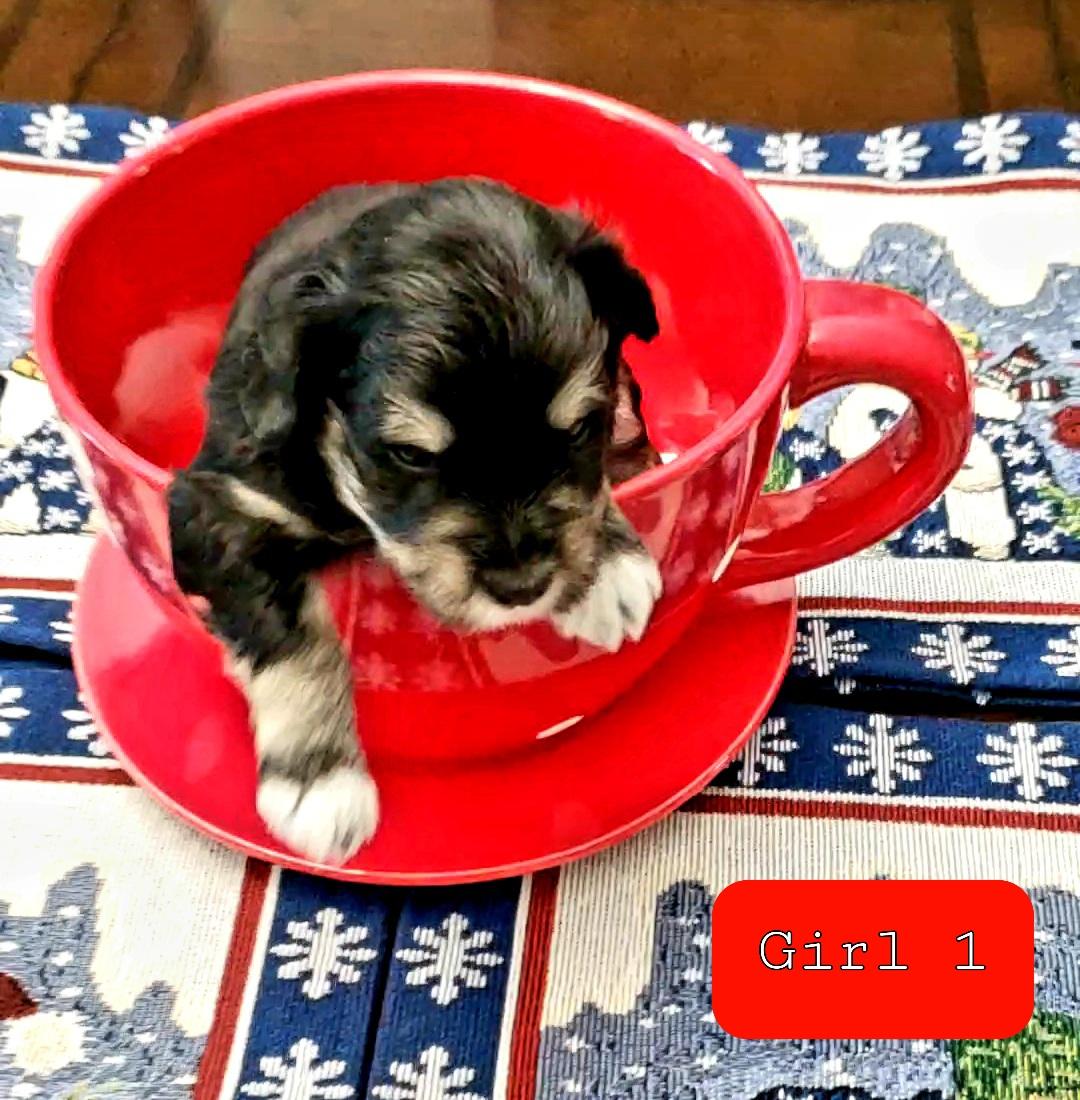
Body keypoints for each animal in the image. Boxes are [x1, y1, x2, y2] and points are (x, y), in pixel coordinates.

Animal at [168, 179, 663, 864]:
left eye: (577, 429)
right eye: (411, 455)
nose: (521, 588)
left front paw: (609, 566)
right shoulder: (219, 507)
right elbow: (292, 636)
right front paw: (320, 782)